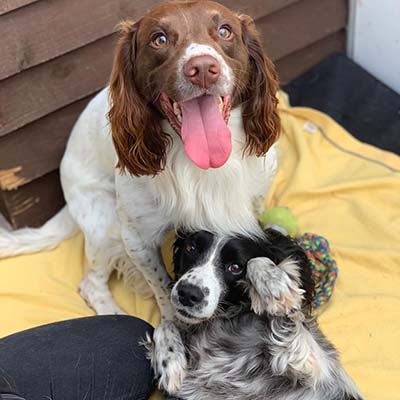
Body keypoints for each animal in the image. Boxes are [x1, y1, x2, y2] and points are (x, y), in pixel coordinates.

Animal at [0, 0, 282, 394]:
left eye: (224, 31)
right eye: (159, 39)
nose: (202, 69)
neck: (200, 164)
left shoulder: (251, 205)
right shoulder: (136, 237)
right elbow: (164, 289)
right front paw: (170, 348)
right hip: (106, 222)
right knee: (91, 283)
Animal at [149, 228, 362, 400]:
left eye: (235, 267)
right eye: (191, 248)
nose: (187, 293)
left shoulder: (311, 365)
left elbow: (258, 263)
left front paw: (274, 284)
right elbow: (165, 325)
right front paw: (170, 363)